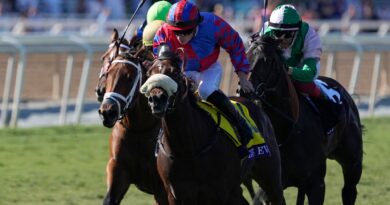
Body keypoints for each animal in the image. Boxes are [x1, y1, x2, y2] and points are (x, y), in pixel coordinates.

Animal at [97, 29, 168, 204]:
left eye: (129, 77)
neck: (139, 129)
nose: (107, 112)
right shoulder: (118, 171)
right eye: (108, 72)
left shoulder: (163, 189)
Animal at [139, 48, 284, 204]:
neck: (188, 149)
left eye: (175, 73)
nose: (156, 99)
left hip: (270, 175)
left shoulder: (220, 193)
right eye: (149, 74)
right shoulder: (175, 195)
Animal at [245, 36, 364, 204]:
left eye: (267, 60)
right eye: (246, 56)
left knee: (349, 190)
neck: (286, 131)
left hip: (352, 163)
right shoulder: (272, 185)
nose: (244, 89)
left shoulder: (316, 184)